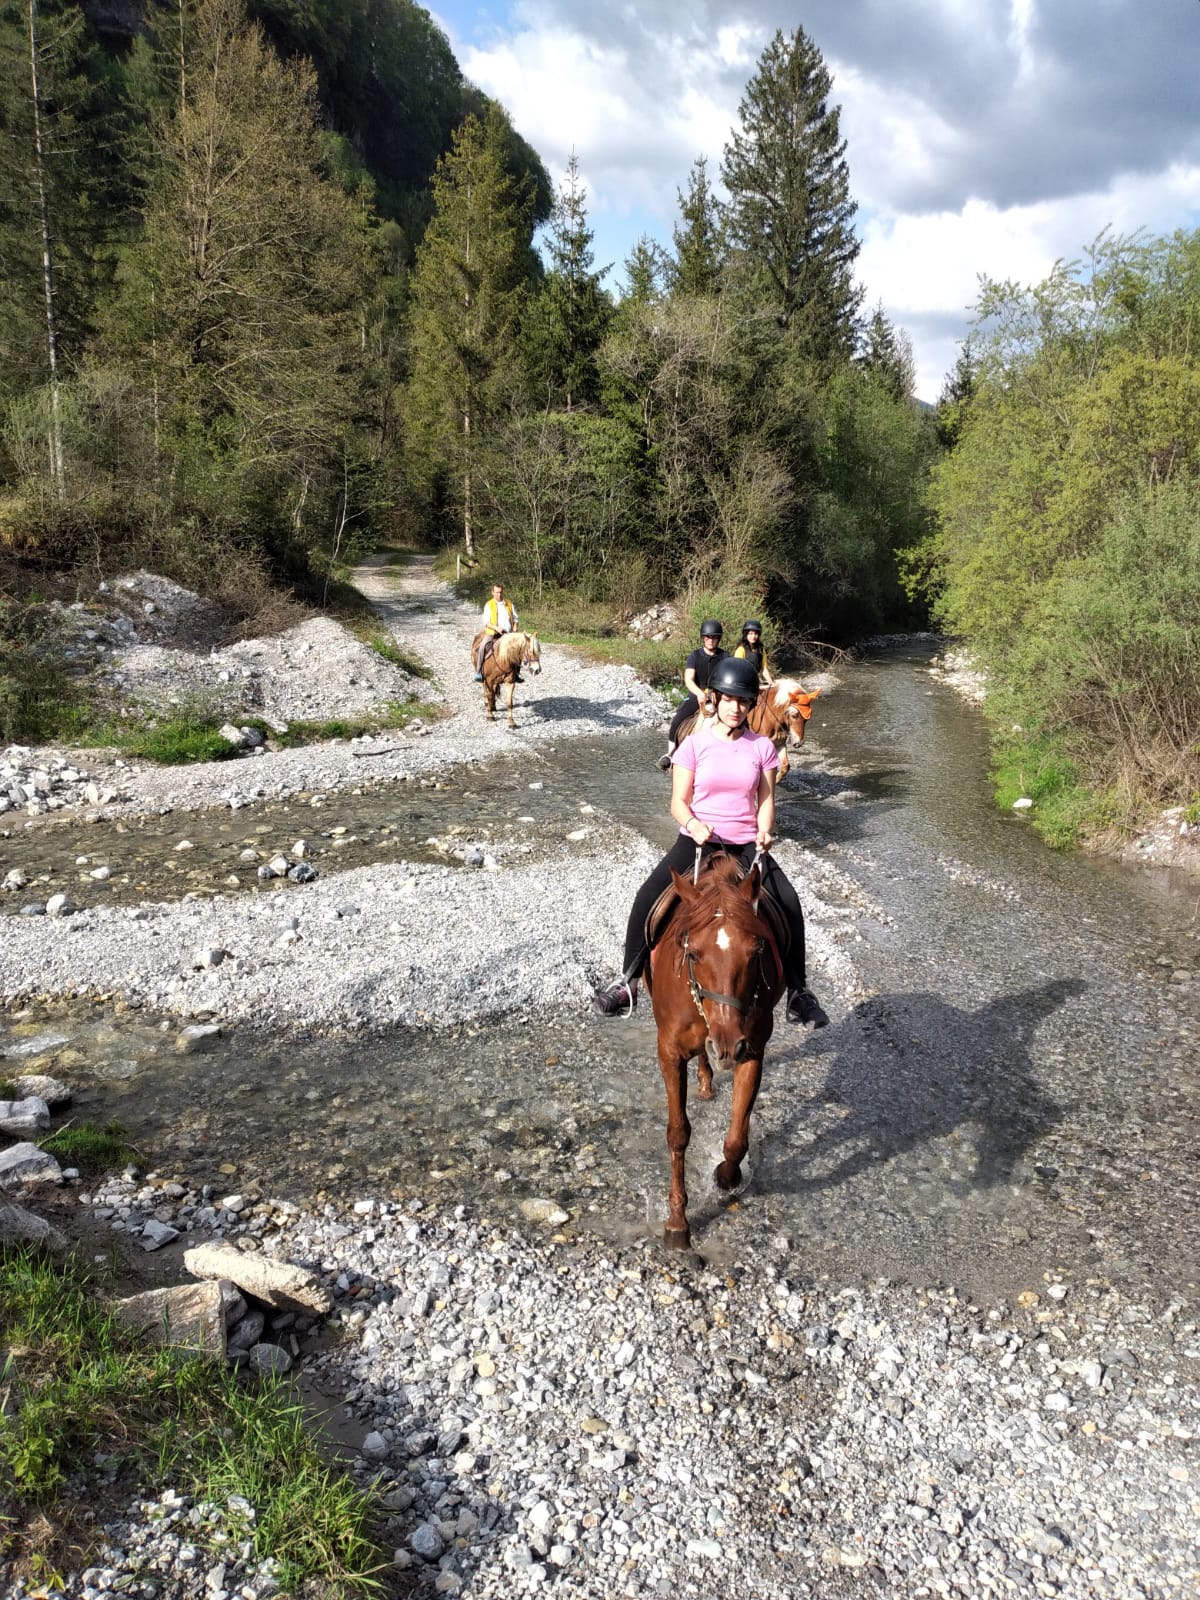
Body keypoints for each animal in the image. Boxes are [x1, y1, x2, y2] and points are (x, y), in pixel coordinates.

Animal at [649, 851, 790, 1248]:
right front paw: (678, 1223)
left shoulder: (753, 1051)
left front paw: (727, 1177)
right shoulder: (669, 1052)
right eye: (694, 954)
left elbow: (738, 1137)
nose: (727, 1045)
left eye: (756, 952)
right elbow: (678, 1134)